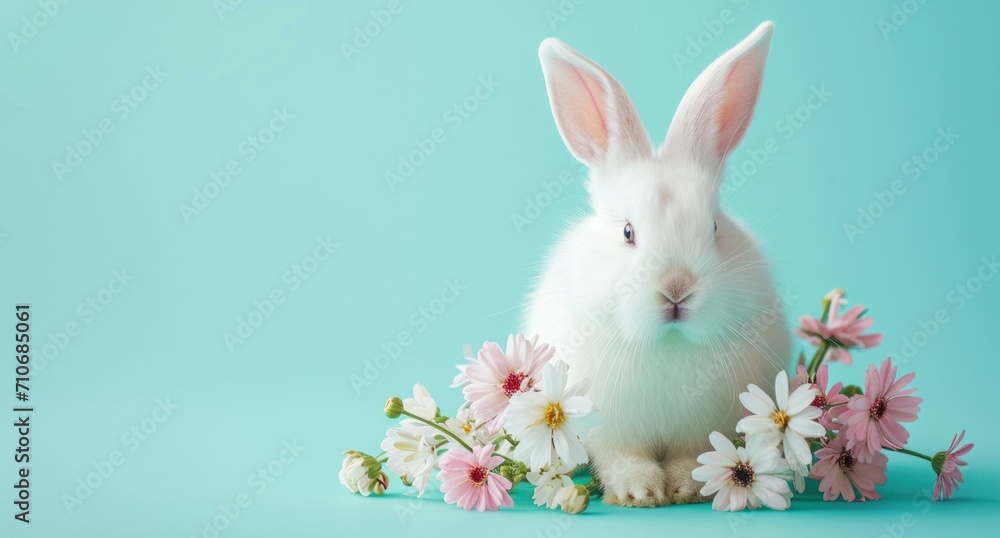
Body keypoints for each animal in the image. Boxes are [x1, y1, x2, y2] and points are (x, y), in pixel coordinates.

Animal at [524, 21, 789, 507]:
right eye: (628, 232)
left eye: (715, 227)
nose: (677, 289)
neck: (668, 343)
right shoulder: (609, 431)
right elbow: (623, 459)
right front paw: (640, 492)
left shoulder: (702, 432)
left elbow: (691, 457)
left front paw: (686, 488)